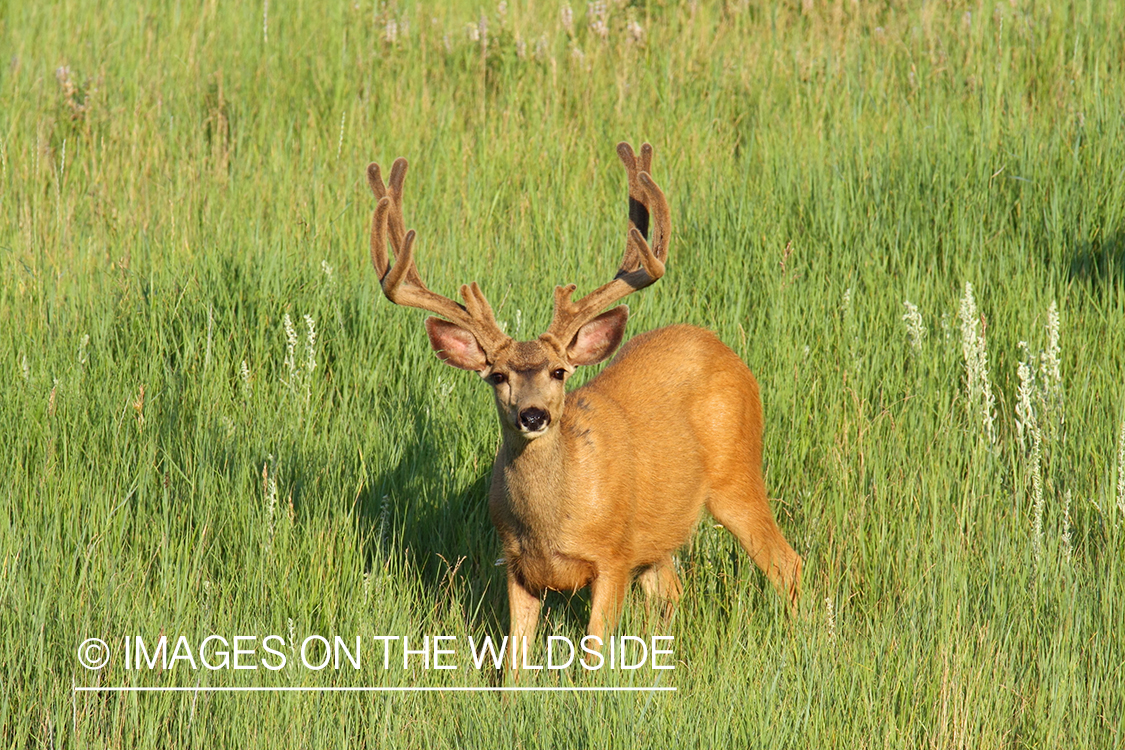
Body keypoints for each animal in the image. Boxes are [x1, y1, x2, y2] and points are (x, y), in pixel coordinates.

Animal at [365, 142, 802, 673]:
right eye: (497, 376)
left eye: (559, 372)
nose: (533, 415)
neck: (553, 520)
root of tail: (723, 348)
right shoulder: (515, 564)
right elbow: (514, 661)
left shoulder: (613, 555)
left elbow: (594, 651)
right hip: (660, 537)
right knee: (673, 593)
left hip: (737, 473)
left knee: (786, 563)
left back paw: (805, 640)